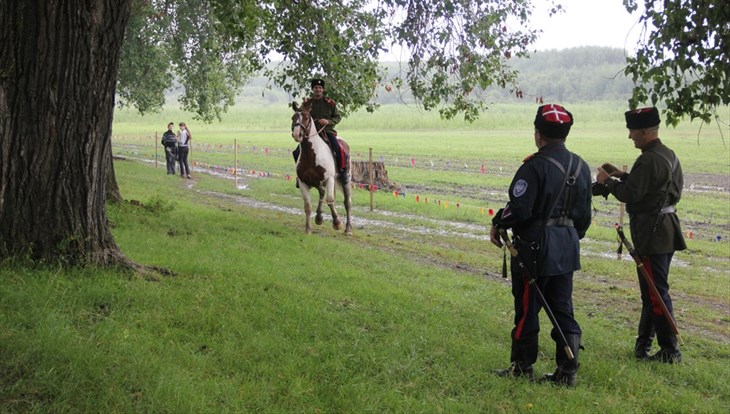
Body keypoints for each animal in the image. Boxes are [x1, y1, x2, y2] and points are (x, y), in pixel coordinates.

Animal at [288, 102, 352, 234]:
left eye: (307, 118)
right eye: (293, 118)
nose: (297, 134)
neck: (311, 154)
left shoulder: (329, 179)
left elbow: (330, 200)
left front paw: (337, 223)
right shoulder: (303, 182)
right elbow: (308, 206)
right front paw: (308, 229)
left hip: (346, 180)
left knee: (347, 202)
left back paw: (348, 228)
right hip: (318, 182)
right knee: (322, 193)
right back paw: (319, 217)